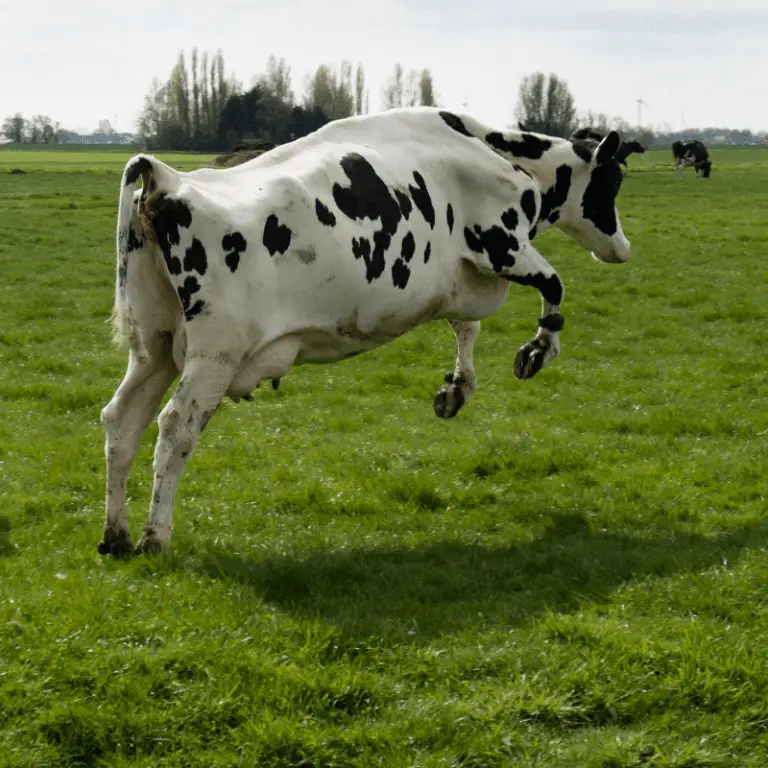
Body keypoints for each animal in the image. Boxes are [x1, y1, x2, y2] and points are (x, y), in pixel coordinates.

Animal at [99, 106, 631, 556]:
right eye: (610, 184)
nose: (621, 248)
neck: (489, 149)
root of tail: (167, 179)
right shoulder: (500, 244)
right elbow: (553, 286)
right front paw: (537, 350)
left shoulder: (462, 277)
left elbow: (467, 326)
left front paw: (456, 388)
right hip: (215, 356)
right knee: (175, 428)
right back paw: (154, 538)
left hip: (153, 349)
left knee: (122, 420)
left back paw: (116, 536)